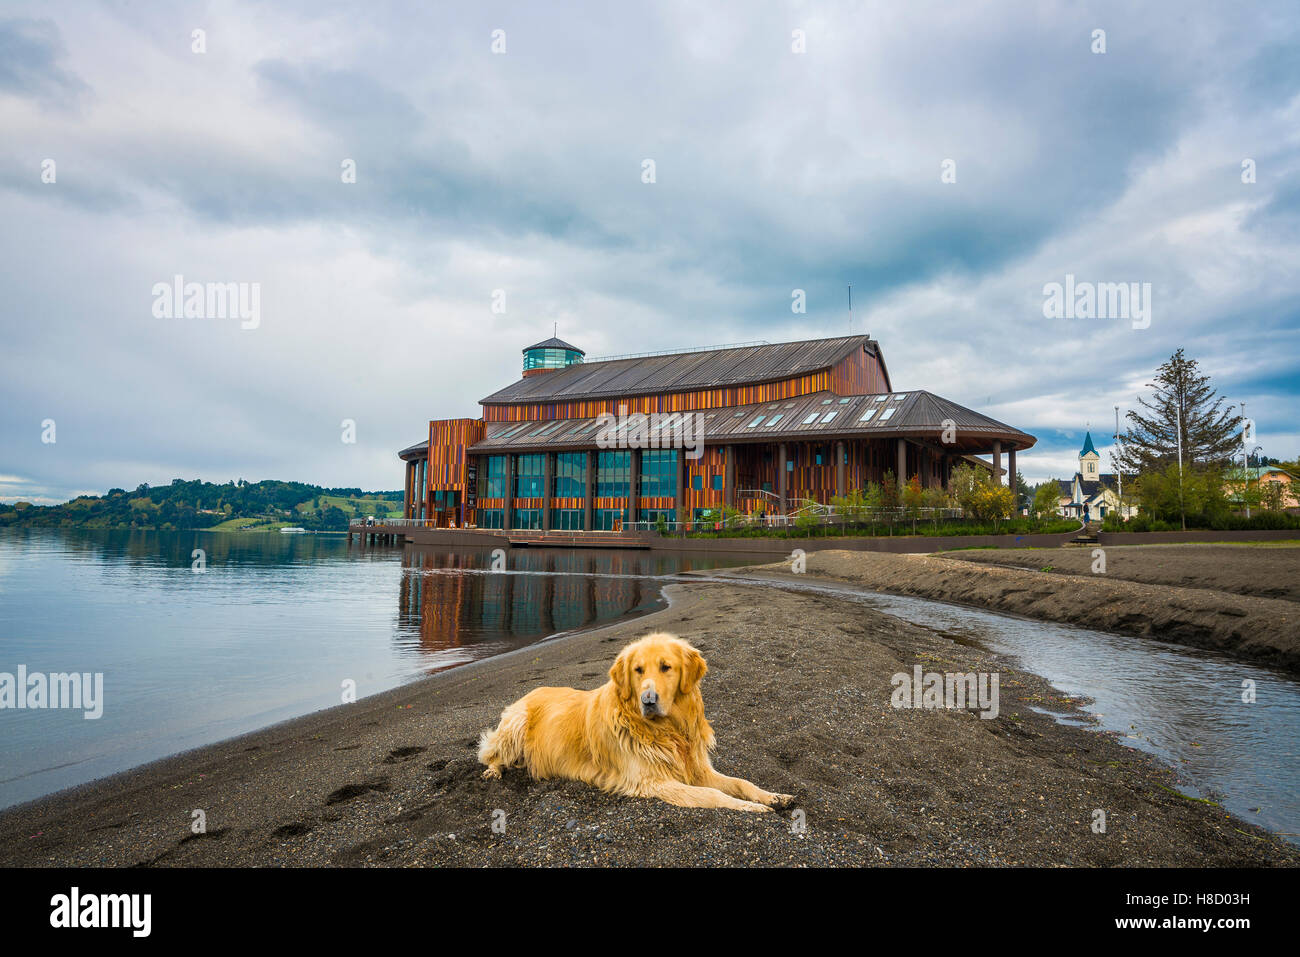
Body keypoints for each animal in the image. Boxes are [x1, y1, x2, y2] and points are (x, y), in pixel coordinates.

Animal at [480, 631, 790, 811]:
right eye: (638, 670)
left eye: (666, 667)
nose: (648, 700)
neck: (668, 731)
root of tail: (531, 690)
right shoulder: (652, 781)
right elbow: (713, 796)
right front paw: (753, 810)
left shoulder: (698, 768)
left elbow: (740, 782)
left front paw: (773, 796)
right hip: (516, 723)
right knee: (491, 754)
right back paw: (493, 772)